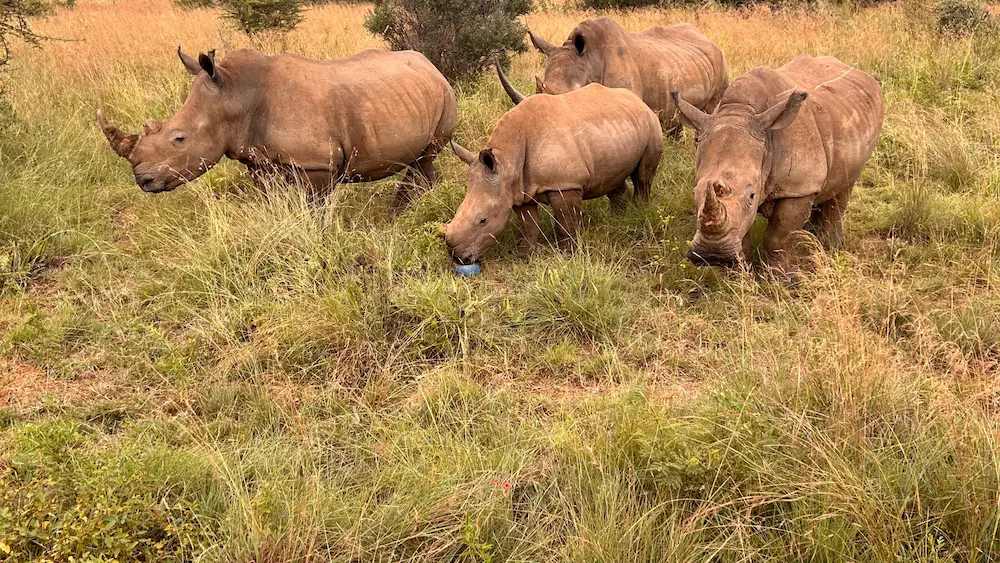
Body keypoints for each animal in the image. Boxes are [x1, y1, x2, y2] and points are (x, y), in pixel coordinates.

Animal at [98, 47, 458, 211]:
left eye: (179, 139)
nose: (142, 180)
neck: (236, 95)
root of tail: (430, 64)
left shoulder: (317, 164)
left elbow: (315, 210)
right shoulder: (259, 161)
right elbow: (273, 202)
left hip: (444, 94)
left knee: (426, 157)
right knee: (421, 160)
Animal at [442, 83, 662, 265]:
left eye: (483, 220)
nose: (458, 258)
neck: (507, 161)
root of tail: (638, 100)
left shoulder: (565, 185)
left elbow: (566, 223)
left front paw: (567, 255)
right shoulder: (519, 191)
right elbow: (530, 224)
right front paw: (524, 255)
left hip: (651, 123)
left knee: (643, 178)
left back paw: (639, 212)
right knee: (613, 179)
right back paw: (618, 218)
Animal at [672, 55, 884, 271]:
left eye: (752, 195)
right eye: (695, 192)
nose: (712, 255)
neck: (740, 111)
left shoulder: (798, 188)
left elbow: (777, 238)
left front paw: (775, 276)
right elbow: (743, 232)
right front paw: (740, 274)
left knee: (844, 188)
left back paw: (830, 247)